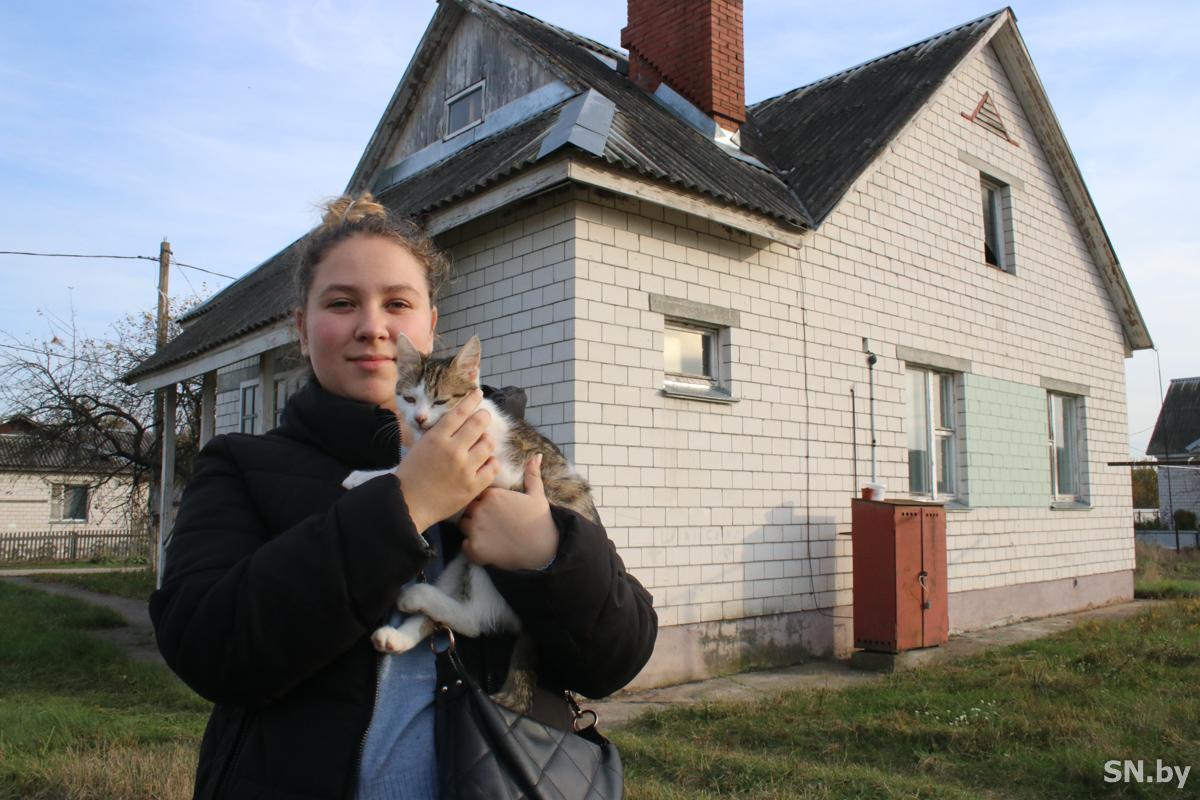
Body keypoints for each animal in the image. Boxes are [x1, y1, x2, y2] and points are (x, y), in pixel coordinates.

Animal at [340, 335, 597, 710]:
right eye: (409, 398)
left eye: (440, 400)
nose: (419, 419)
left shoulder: (504, 477)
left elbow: (407, 472)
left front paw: (369, 476)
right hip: (460, 562)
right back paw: (399, 633)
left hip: (493, 562)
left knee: (475, 621)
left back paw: (417, 596)